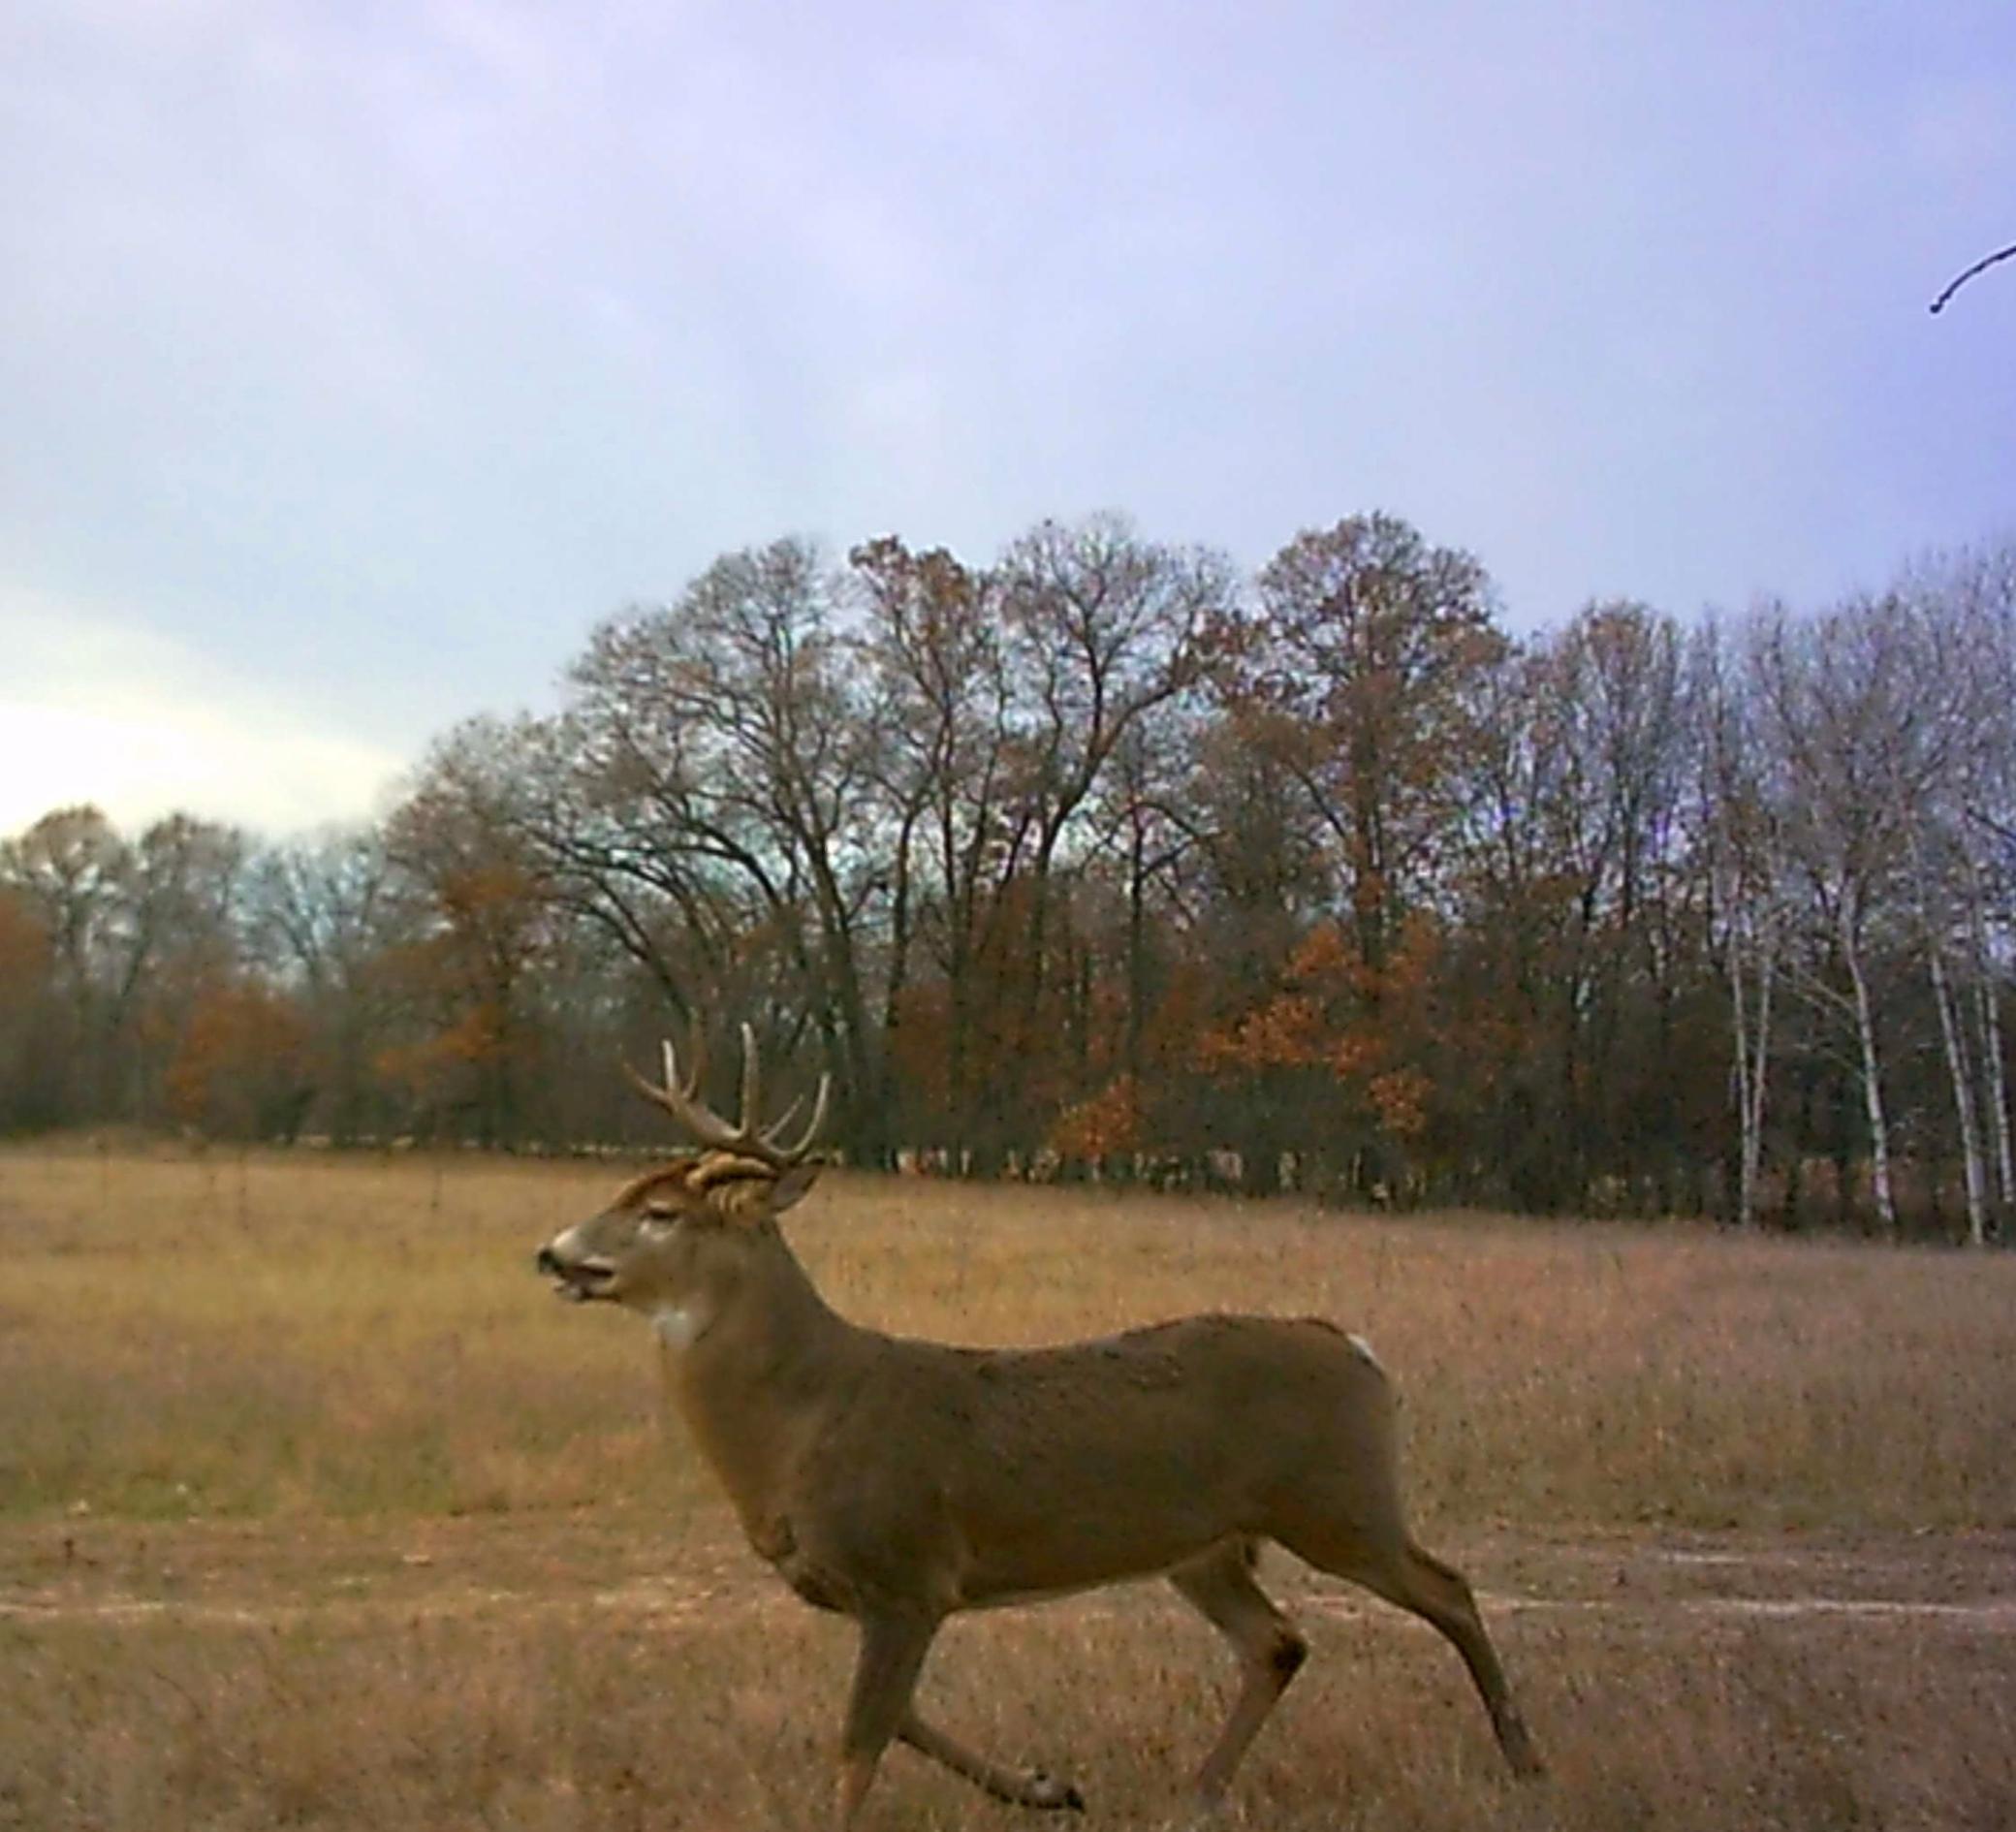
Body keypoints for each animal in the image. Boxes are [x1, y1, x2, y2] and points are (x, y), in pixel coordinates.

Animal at [536, 1027, 1540, 1829]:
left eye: (660, 1213)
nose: (550, 1253)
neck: (800, 1425)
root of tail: (1359, 1349)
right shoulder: (883, 1592)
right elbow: (902, 1720)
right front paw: (1051, 1788)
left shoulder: (910, 1571)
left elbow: (861, 1741)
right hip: (1205, 1545)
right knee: (1279, 1642)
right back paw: (1199, 1791)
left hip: (1338, 1499)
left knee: (1449, 1590)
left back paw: (1524, 1760)